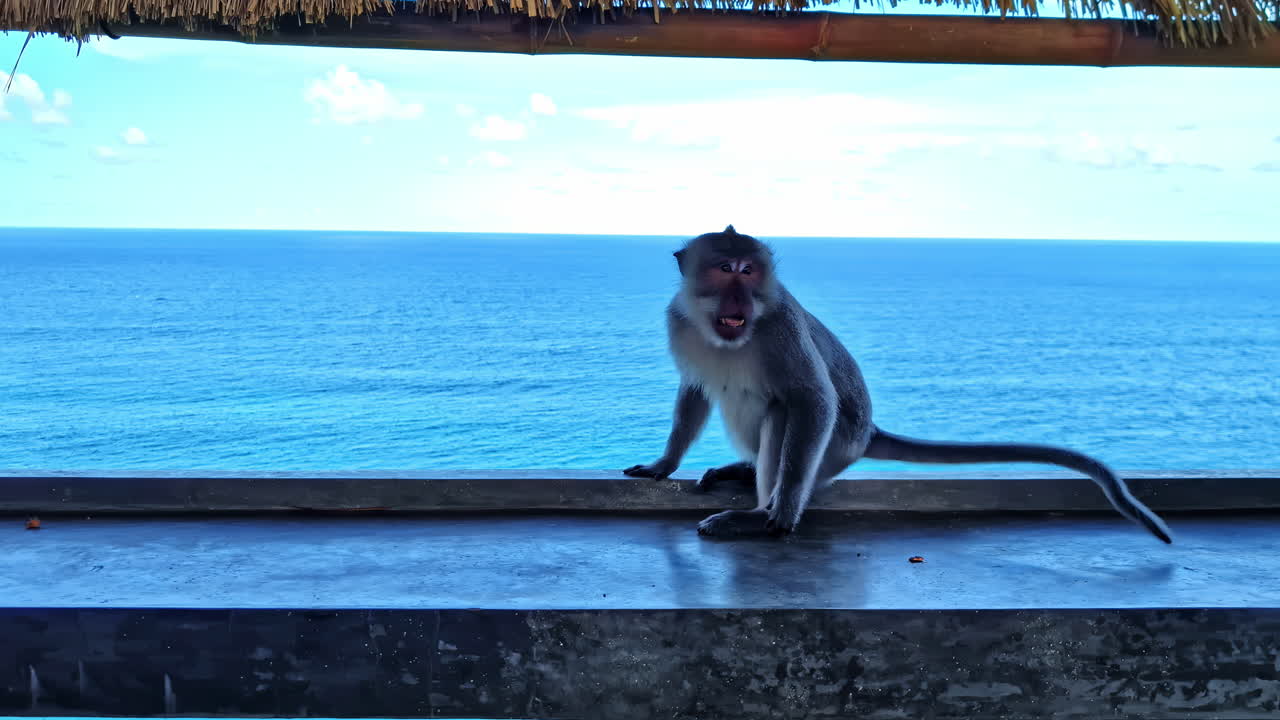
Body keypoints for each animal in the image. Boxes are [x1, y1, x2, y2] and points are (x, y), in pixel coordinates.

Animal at [623, 226, 1173, 544]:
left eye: (748, 270)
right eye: (724, 269)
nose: (742, 293)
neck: (728, 332)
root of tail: (868, 433)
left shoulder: (780, 325)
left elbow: (812, 399)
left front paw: (778, 513)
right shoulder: (677, 321)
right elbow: (694, 391)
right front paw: (663, 464)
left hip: (836, 446)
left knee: (787, 414)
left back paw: (761, 511)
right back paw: (746, 471)